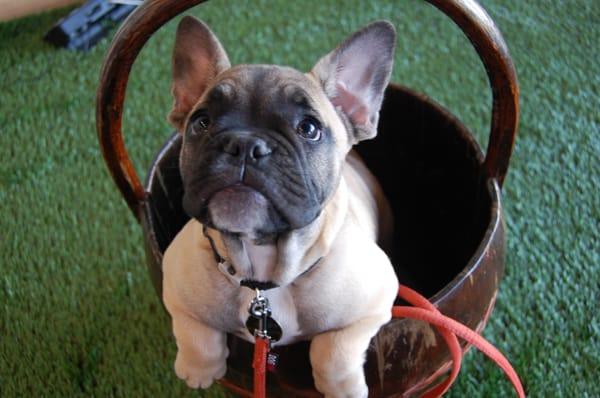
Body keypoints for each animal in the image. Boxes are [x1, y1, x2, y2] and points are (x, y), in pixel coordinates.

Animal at [162, 16, 400, 398]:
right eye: (201, 122)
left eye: (309, 128)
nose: (244, 145)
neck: (264, 277)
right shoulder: (174, 285)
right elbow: (195, 332)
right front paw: (199, 370)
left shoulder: (374, 304)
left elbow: (333, 350)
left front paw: (341, 388)